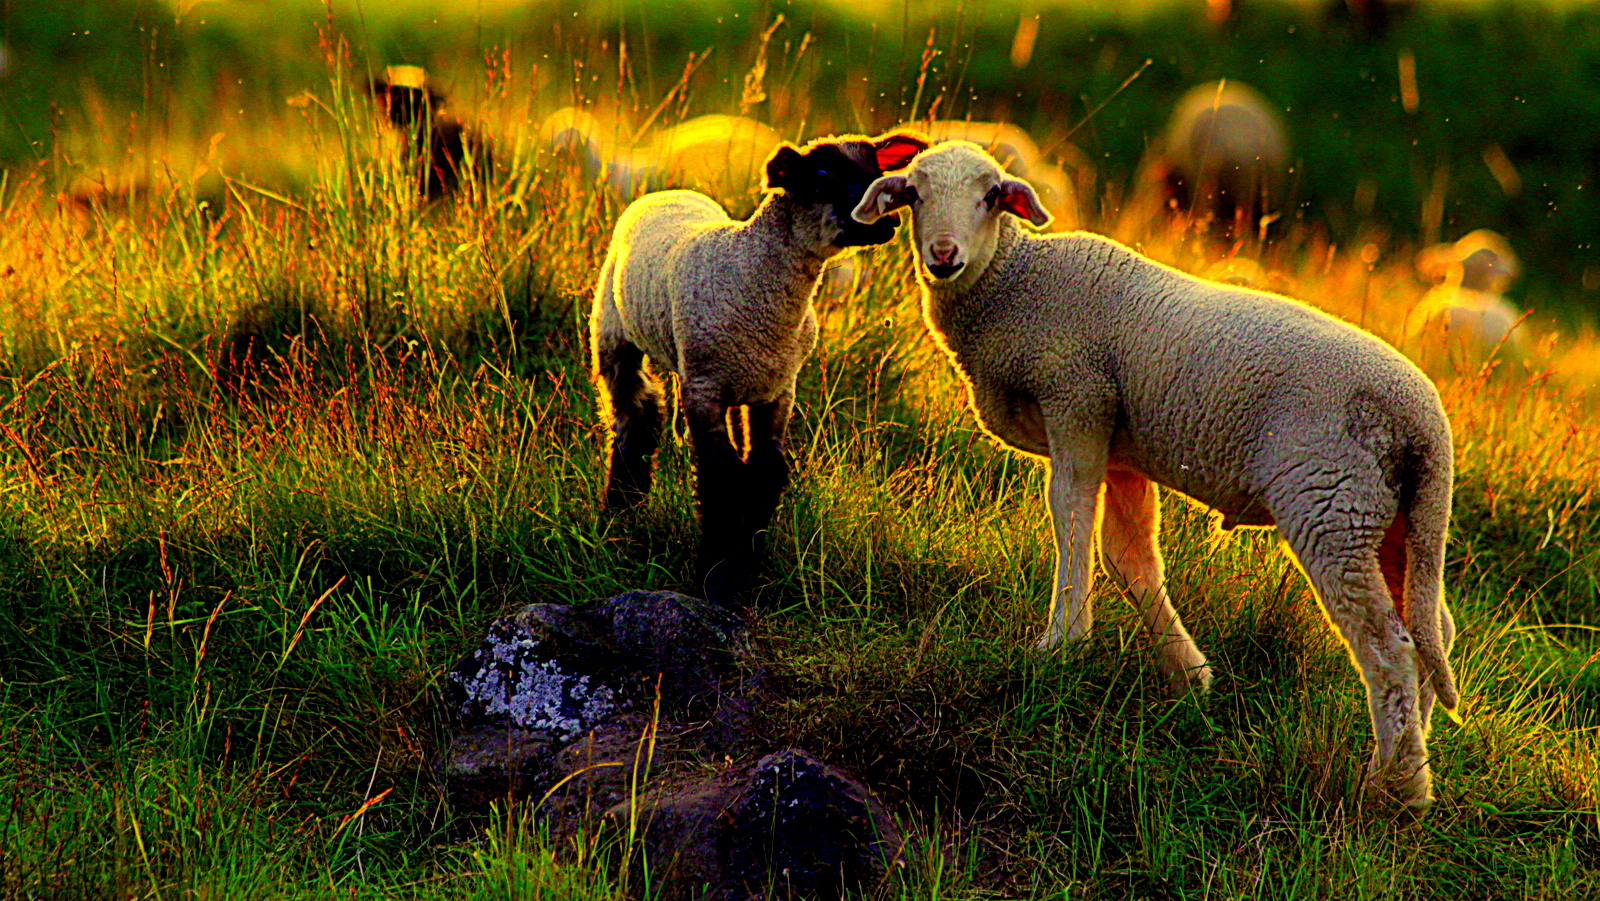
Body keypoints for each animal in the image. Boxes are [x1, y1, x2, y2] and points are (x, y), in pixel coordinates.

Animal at [592, 128, 934, 604]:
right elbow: (720, 474)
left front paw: (746, 567)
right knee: (633, 420)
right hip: (613, 333)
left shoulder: (778, 388)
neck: (751, 272)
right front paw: (717, 577)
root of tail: (671, 191)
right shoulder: (704, 386)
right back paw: (619, 514)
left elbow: (766, 471)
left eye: (877, 169)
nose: (886, 217)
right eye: (821, 175)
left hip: (741, 383)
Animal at [857, 142, 1465, 809]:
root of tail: (1424, 424)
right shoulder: (1122, 448)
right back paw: (1416, 757)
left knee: (1389, 648)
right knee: (1432, 630)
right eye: (913, 194)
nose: (943, 255)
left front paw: (1061, 643)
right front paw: (1188, 674)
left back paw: (1394, 789)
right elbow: (1128, 557)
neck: (1014, 282)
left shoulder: (1078, 396)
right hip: (1397, 519)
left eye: (991, 196)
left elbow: (1069, 516)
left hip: (1332, 503)